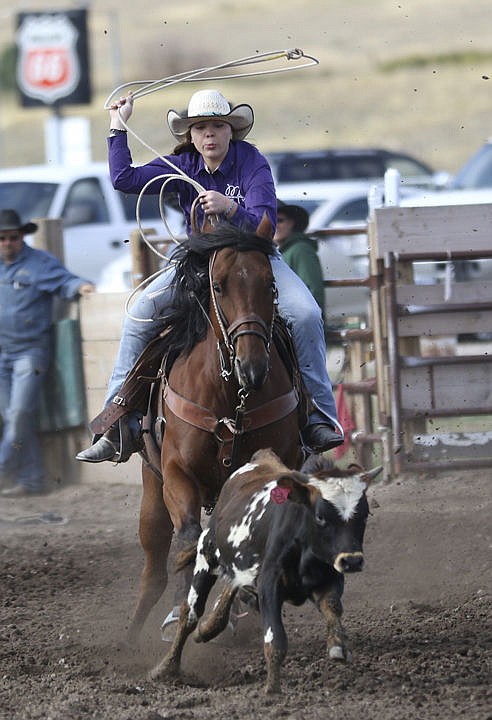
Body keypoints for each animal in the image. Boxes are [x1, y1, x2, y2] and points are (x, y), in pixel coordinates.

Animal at [127, 225, 304, 640]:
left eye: (270, 284)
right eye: (219, 286)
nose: (252, 367)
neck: (230, 397)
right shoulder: (177, 473)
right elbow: (190, 538)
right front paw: (184, 611)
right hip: (152, 490)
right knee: (155, 570)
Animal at [152, 450, 382, 692]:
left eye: (364, 514)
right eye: (320, 516)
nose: (352, 561)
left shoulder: (330, 577)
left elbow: (333, 606)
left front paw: (337, 645)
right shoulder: (269, 584)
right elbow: (275, 638)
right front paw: (272, 689)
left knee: (227, 593)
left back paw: (208, 628)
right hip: (207, 556)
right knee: (190, 613)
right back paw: (167, 667)